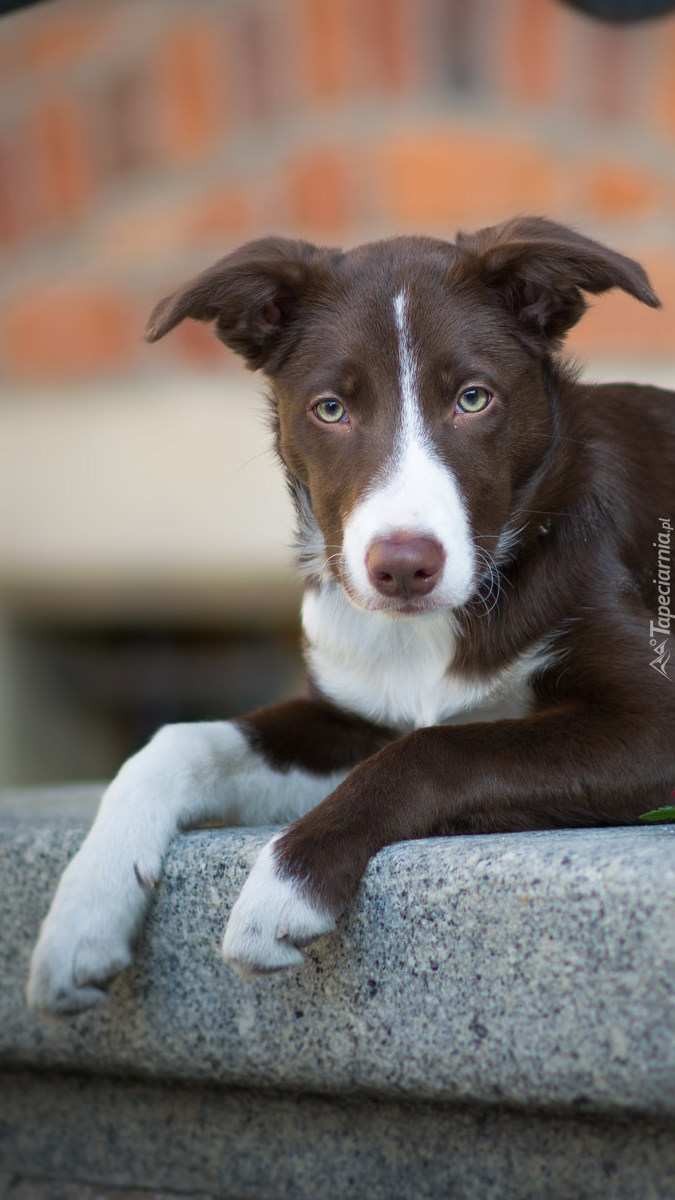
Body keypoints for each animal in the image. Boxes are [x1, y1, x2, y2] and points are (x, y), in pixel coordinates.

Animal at [27, 218, 672, 1012]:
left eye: (473, 398)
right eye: (330, 409)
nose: (402, 567)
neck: (425, 632)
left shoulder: (653, 721)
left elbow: (436, 747)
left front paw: (284, 885)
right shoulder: (351, 714)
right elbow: (180, 740)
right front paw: (82, 914)